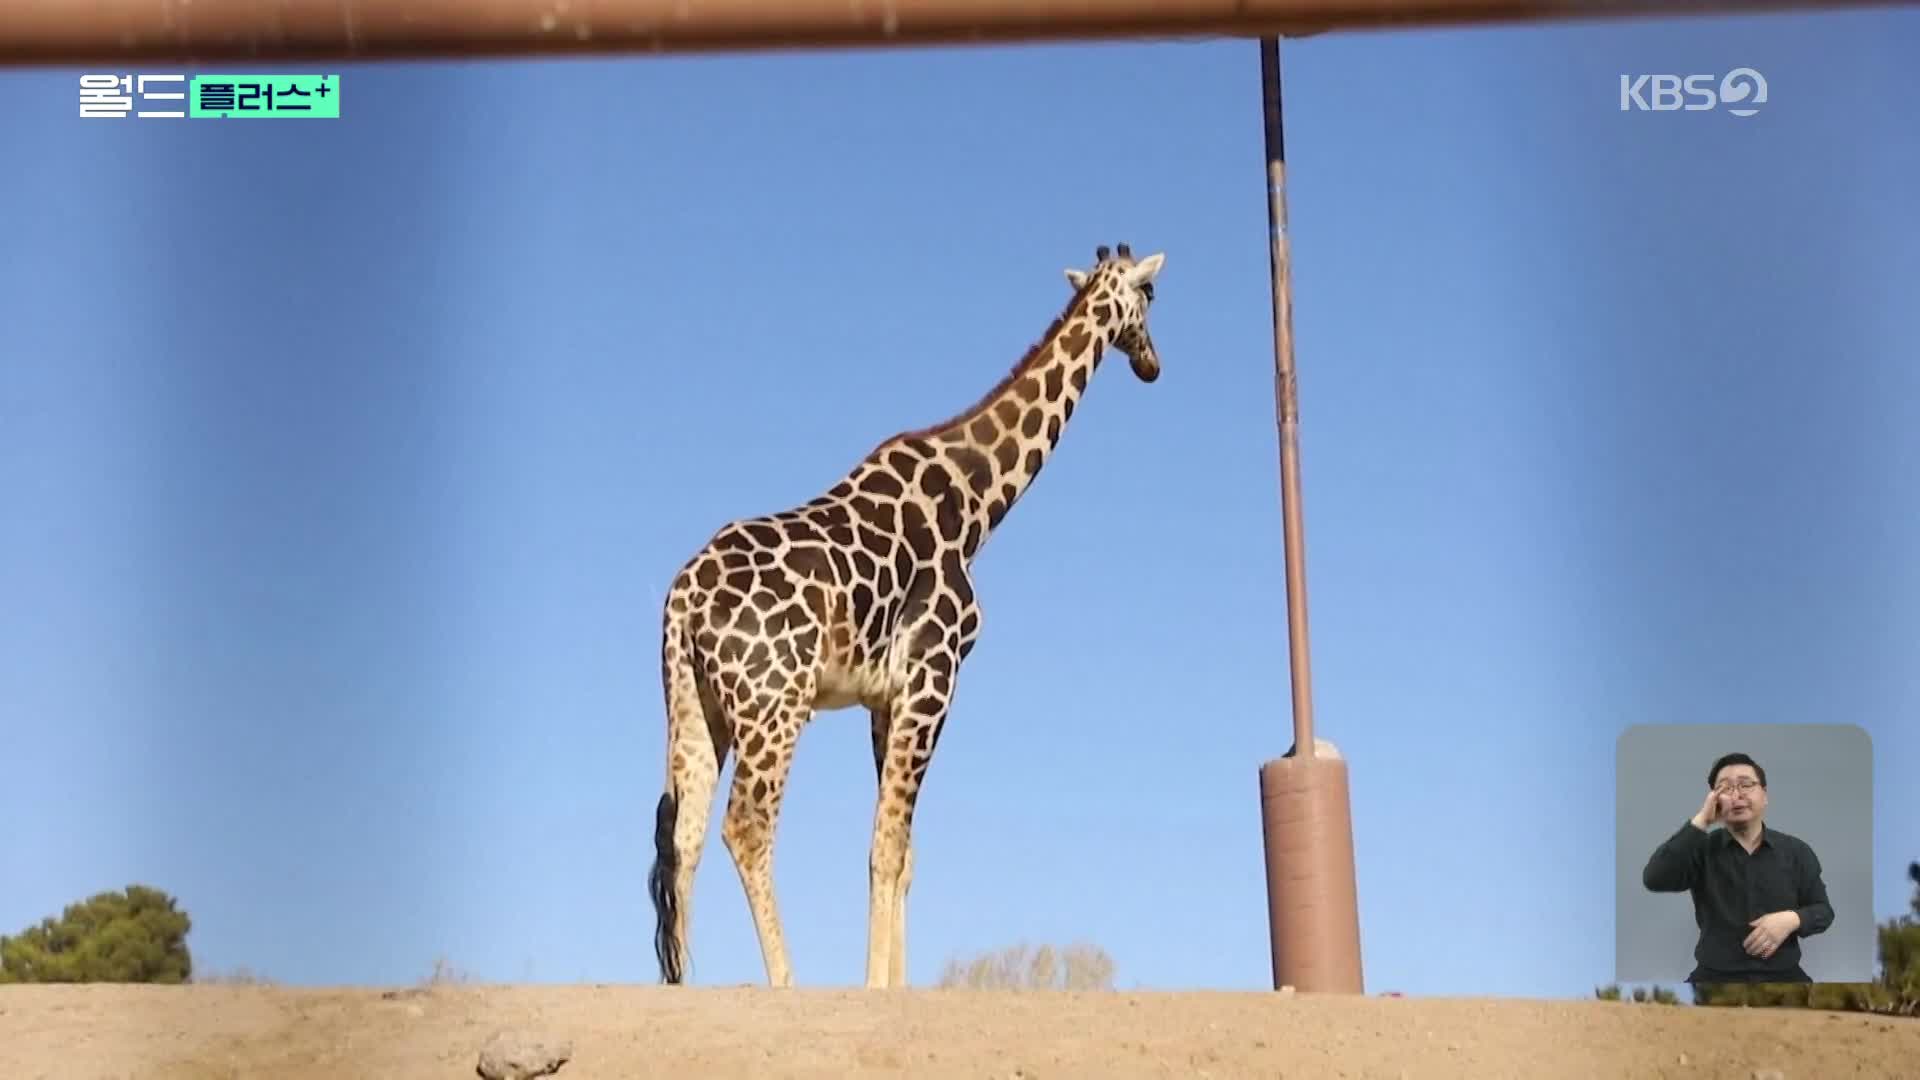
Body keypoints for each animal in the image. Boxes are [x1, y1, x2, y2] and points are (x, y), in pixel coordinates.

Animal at [648, 242, 1167, 983]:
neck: (979, 502)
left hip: (697, 707)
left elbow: (904, 855)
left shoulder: (884, 698)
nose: (1152, 363)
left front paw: (896, 983)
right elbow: (888, 845)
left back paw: (686, 987)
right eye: (1150, 296)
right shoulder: (934, 676)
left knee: (683, 836)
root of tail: (682, 600)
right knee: (744, 826)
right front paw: (873, 986)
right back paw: (786, 982)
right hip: (775, 707)